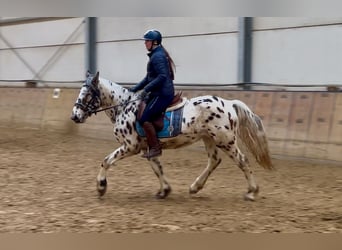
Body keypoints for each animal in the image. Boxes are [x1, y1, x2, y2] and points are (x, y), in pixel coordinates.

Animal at [71, 71, 274, 200]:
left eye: (87, 94)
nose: (74, 116)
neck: (124, 106)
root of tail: (230, 103)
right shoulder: (148, 147)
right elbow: (157, 168)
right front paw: (165, 191)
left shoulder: (130, 147)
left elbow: (106, 161)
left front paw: (101, 187)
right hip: (209, 138)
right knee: (214, 161)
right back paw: (195, 187)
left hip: (225, 141)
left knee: (243, 161)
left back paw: (252, 192)